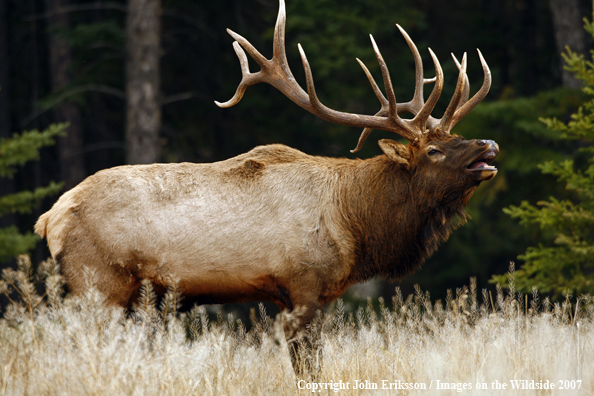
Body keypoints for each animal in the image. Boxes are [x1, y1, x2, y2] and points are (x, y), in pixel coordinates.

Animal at [35, 0, 494, 372]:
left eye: (457, 137)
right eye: (433, 149)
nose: (488, 144)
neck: (354, 225)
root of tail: (49, 217)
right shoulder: (303, 285)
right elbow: (309, 367)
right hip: (99, 285)